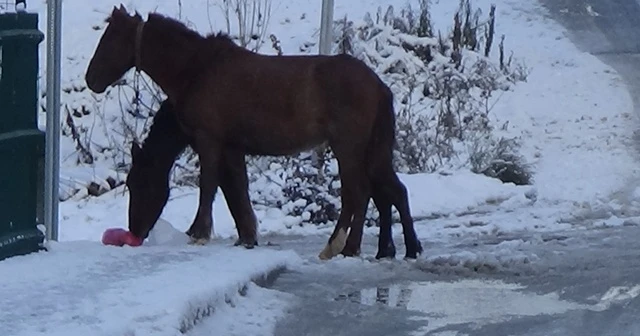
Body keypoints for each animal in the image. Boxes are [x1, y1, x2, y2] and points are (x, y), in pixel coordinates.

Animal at [86, 5, 424, 260]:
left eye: (111, 39)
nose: (135, 231)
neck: (196, 70)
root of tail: (378, 85)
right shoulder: (232, 147)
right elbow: (236, 189)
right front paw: (247, 236)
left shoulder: (209, 140)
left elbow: (209, 186)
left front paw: (199, 233)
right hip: (369, 150)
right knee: (383, 191)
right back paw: (394, 248)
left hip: (348, 147)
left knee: (358, 193)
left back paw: (341, 246)